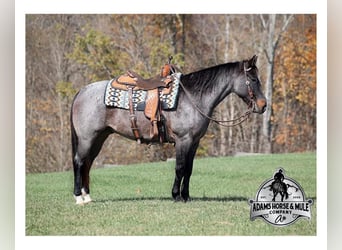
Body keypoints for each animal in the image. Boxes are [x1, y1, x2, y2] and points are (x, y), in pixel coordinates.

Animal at [70, 55, 268, 205]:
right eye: (253, 79)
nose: (263, 105)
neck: (192, 97)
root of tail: (82, 91)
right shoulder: (183, 140)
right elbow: (180, 168)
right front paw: (176, 196)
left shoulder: (194, 142)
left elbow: (189, 169)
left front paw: (186, 196)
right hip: (87, 138)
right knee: (79, 162)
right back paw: (79, 198)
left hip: (98, 138)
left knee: (87, 163)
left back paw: (87, 196)